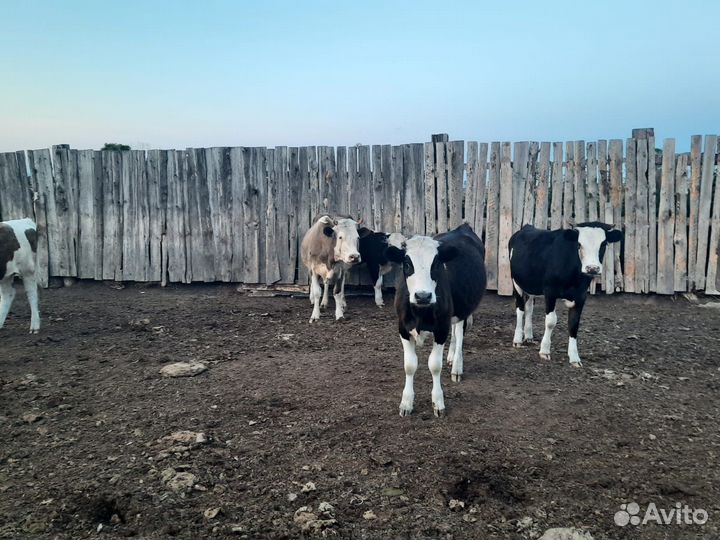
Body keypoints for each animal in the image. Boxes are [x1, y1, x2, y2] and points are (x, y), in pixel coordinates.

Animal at [385, 223, 486, 417]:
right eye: (407, 264)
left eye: (437, 263)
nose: (423, 296)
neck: (420, 312)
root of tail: (463, 227)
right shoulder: (402, 327)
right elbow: (409, 365)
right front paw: (406, 403)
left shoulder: (441, 328)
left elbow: (434, 365)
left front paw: (438, 402)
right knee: (455, 333)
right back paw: (451, 356)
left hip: (464, 308)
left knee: (460, 335)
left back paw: (457, 367)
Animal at [508, 222, 622, 367]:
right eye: (579, 244)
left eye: (603, 244)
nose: (592, 268)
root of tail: (527, 226)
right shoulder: (549, 291)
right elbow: (550, 321)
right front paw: (544, 351)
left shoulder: (581, 296)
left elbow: (574, 324)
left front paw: (574, 358)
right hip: (516, 282)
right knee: (520, 309)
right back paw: (517, 339)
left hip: (530, 284)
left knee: (529, 308)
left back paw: (528, 336)